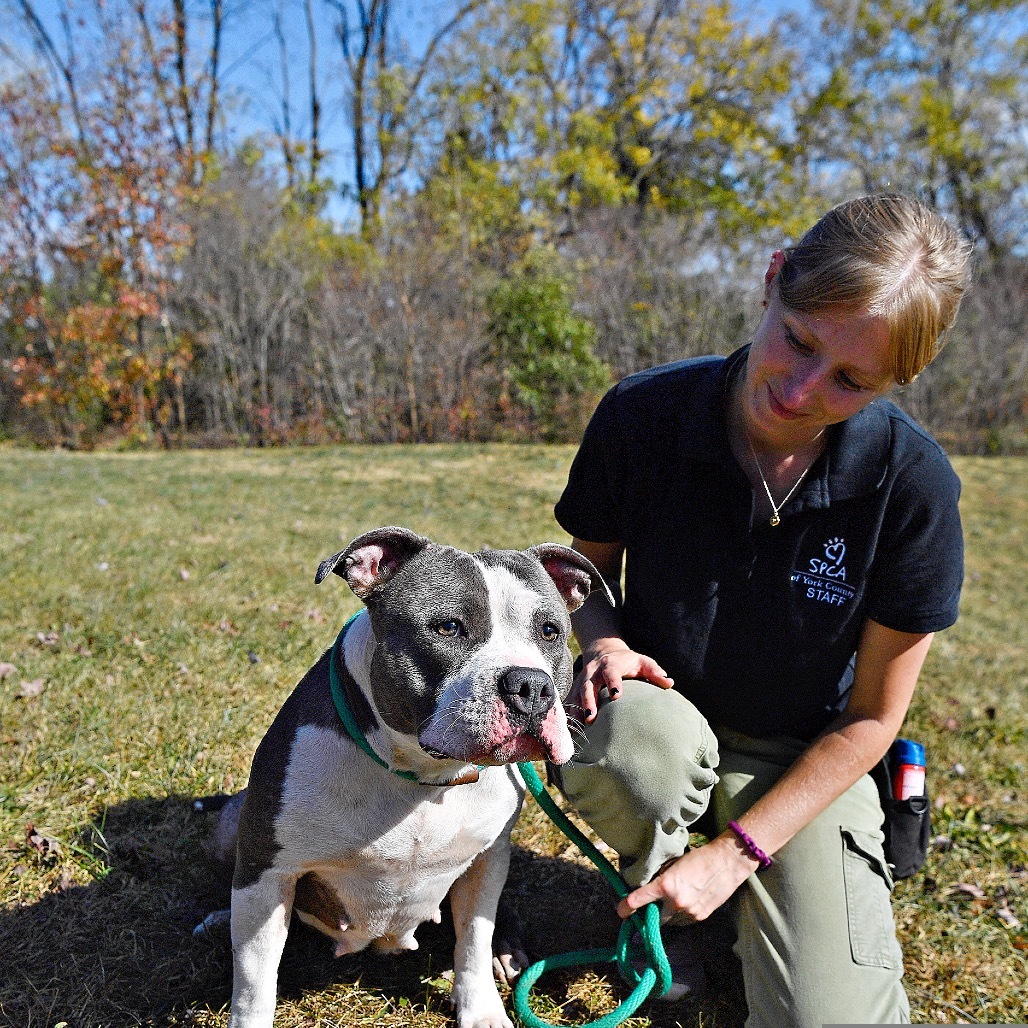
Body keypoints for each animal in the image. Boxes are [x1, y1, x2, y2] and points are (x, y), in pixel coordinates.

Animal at [204, 530, 612, 1028]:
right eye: (448, 628)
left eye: (550, 632)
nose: (531, 686)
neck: (424, 775)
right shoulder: (268, 873)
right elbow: (254, 985)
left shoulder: (487, 859)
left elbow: (473, 940)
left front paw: (481, 1006)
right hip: (233, 828)